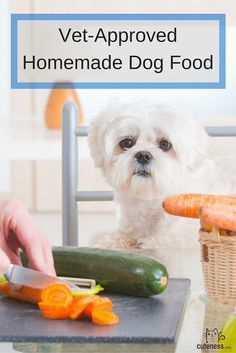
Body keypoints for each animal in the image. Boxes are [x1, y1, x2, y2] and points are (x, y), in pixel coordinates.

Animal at [87, 99, 235, 248]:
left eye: (165, 144)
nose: (143, 155)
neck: (152, 200)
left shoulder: (182, 236)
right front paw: (105, 242)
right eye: (127, 142)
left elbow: (156, 242)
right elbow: (118, 235)